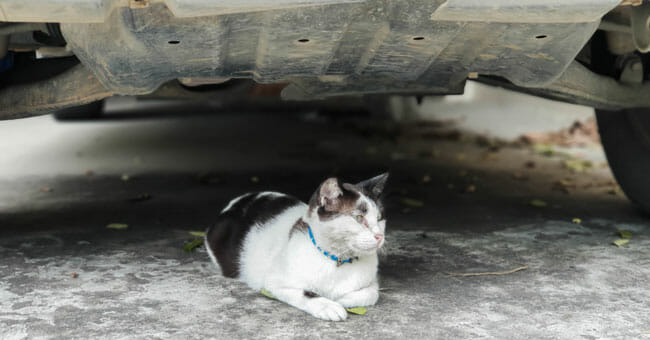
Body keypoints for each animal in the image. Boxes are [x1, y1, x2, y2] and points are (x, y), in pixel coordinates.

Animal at [204, 174, 384, 320]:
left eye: (379, 218)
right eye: (358, 218)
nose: (380, 236)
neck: (337, 259)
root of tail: (236, 201)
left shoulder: (373, 282)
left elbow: (372, 293)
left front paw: (341, 299)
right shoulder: (273, 283)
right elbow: (305, 293)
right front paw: (328, 305)